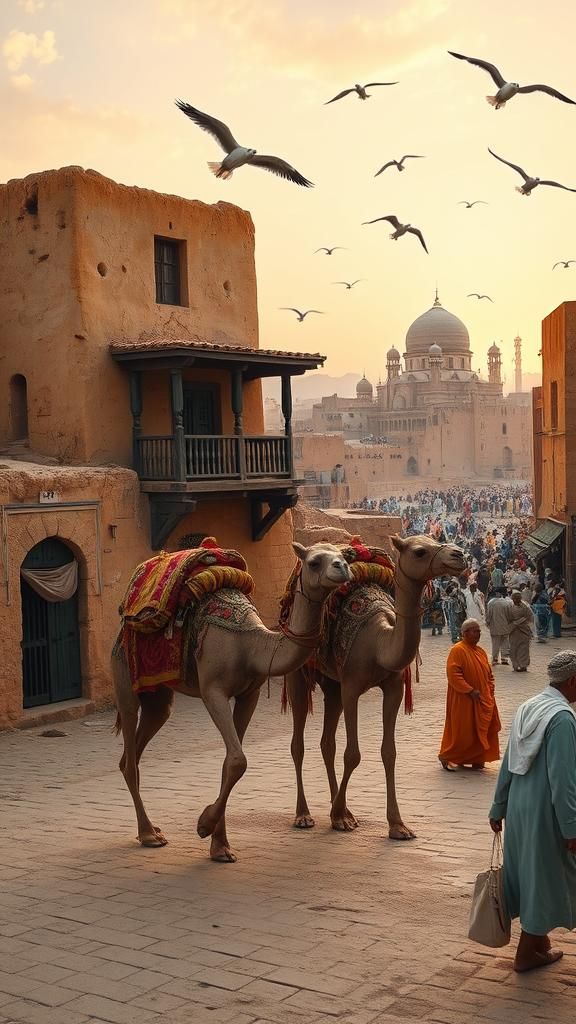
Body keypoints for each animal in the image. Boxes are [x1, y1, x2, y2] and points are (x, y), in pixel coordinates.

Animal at [112, 542, 351, 863]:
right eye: (314, 562)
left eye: (342, 555)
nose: (343, 567)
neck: (250, 645)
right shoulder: (213, 690)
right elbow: (238, 760)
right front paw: (203, 825)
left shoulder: (249, 694)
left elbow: (230, 763)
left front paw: (220, 846)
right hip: (124, 674)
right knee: (129, 746)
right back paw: (149, 834)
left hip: (157, 695)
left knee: (141, 740)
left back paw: (152, 830)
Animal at [286, 534, 465, 839]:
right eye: (420, 551)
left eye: (435, 540)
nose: (458, 554)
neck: (380, 644)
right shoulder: (351, 688)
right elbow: (353, 754)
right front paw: (337, 814)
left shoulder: (393, 688)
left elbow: (389, 752)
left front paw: (397, 824)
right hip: (299, 674)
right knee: (298, 743)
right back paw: (304, 814)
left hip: (332, 683)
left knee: (326, 743)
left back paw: (344, 811)